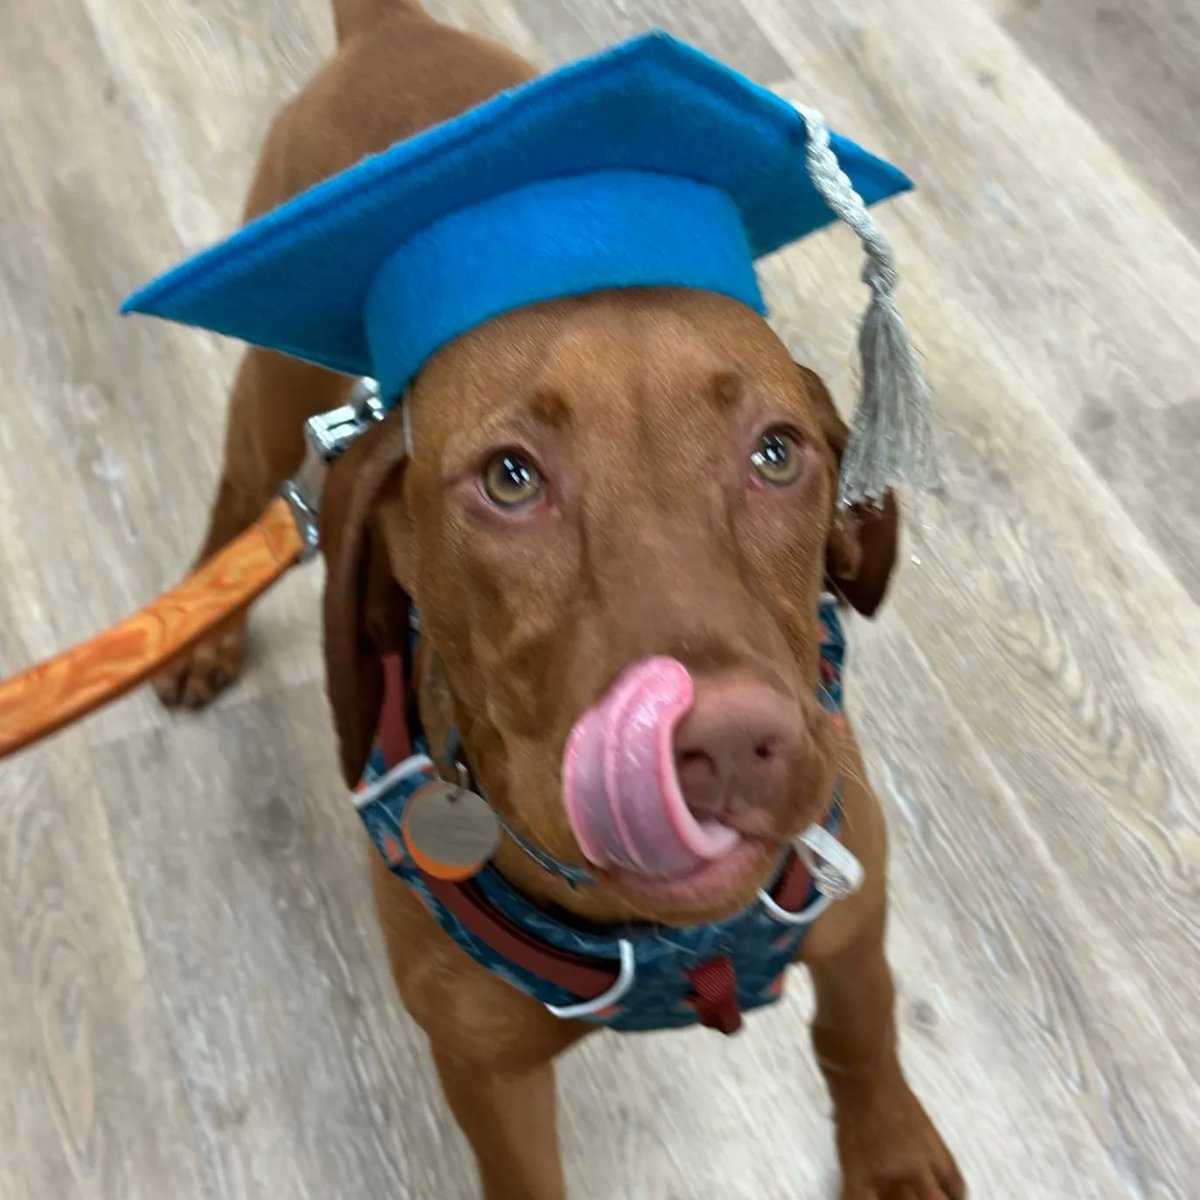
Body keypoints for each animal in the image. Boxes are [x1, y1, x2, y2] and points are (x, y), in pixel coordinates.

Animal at [154, 2, 964, 1200]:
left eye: (777, 453)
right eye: (510, 479)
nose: (728, 745)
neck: (669, 937)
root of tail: (389, 30)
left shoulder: (855, 921)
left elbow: (860, 1033)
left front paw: (893, 1149)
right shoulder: (488, 1074)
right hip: (273, 398)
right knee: (240, 499)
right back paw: (197, 637)